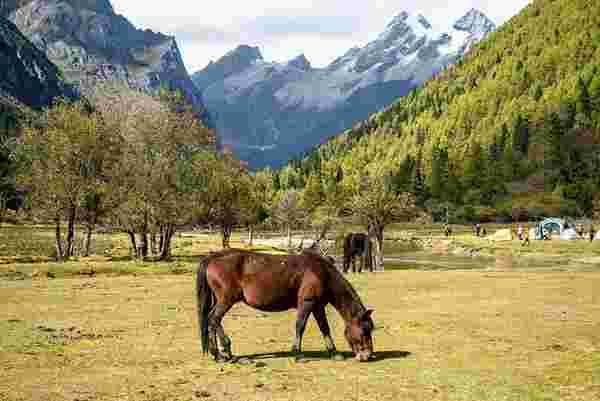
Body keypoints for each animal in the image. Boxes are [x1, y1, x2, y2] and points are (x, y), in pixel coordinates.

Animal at [197, 248, 376, 360]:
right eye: (365, 330)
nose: (367, 356)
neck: (321, 272)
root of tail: (212, 258)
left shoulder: (317, 307)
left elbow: (324, 328)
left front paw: (334, 353)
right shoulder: (307, 303)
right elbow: (300, 326)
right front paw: (297, 354)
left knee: (212, 320)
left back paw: (219, 354)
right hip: (226, 300)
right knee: (214, 319)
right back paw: (224, 352)